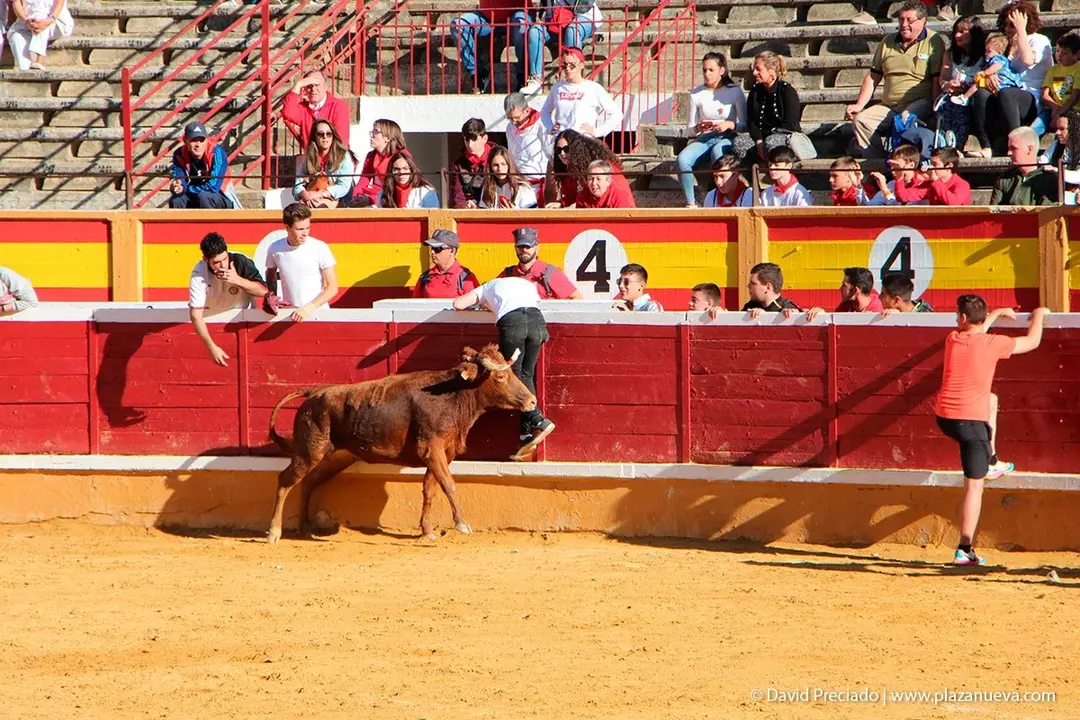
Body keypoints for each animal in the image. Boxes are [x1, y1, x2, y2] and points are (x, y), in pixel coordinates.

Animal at [265, 344, 533, 543]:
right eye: (501, 376)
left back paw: (305, 529)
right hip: (309, 451)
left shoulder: (442, 453)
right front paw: (463, 524)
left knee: (308, 482)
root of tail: (314, 393)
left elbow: (430, 489)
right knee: (285, 481)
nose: (532, 401)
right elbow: (449, 484)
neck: (452, 395)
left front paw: (428, 531)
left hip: (334, 457)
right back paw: (274, 533)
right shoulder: (432, 449)